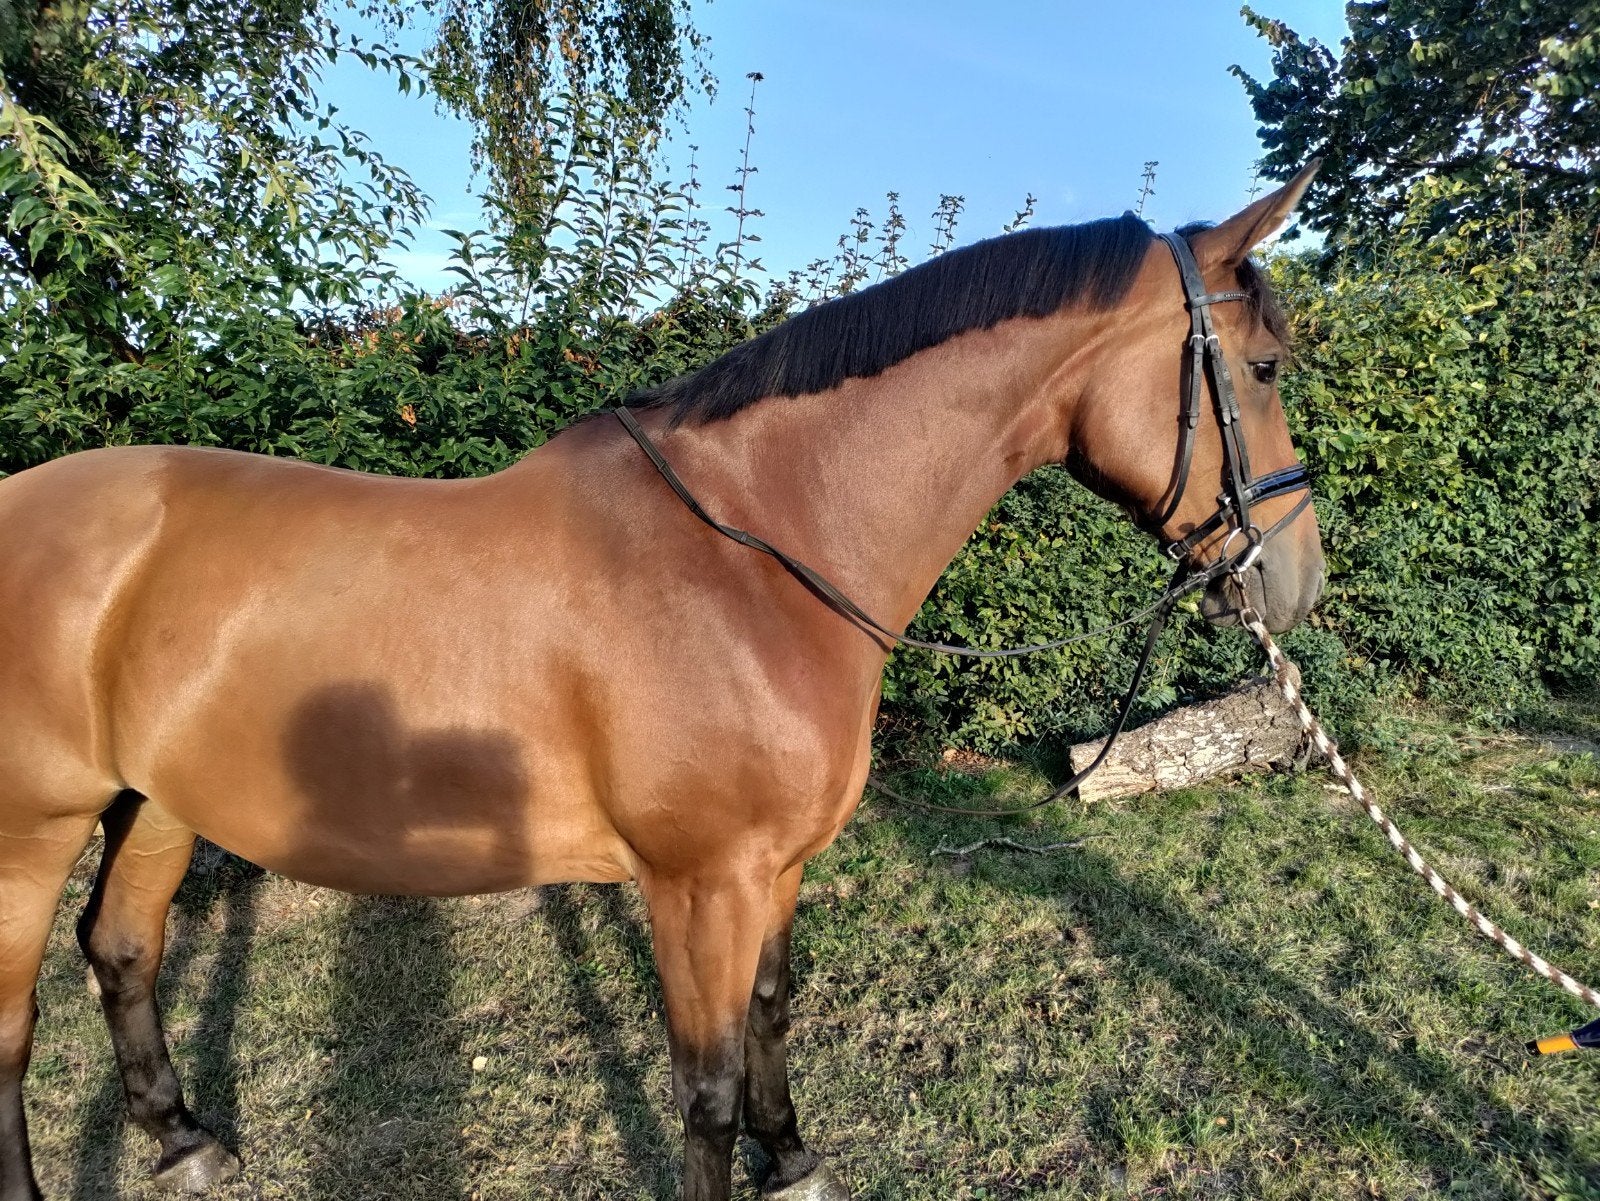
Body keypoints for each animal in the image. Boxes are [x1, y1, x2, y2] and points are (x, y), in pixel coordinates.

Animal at [0, 163, 1325, 1201]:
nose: (1296, 575)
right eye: (1261, 366)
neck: (754, 553)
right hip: (33, 829)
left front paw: (795, 1160)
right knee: (13, 1025)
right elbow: (706, 1087)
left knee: (122, 948)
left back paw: (183, 1140)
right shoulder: (700, 884)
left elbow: (772, 1013)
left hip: (157, 800)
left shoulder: (773, 870)